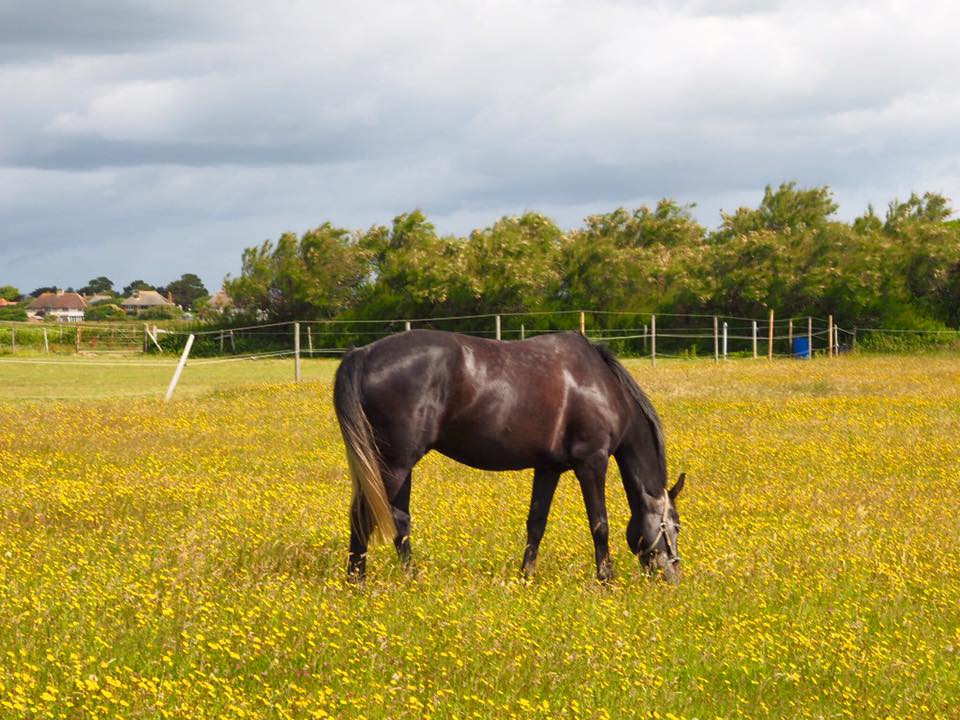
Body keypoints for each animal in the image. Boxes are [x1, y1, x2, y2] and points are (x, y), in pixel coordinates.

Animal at [334, 330, 688, 584]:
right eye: (675, 526)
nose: (674, 578)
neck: (600, 384)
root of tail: (362, 354)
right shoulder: (592, 463)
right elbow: (600, 524)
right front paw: (606, 580)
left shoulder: (548, 468)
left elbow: (536, 524)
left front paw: (525, 577)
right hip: (394, 465)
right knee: (366, 516)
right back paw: (358, 582)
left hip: (396, 466)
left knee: (398, 519)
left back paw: (408, 579)